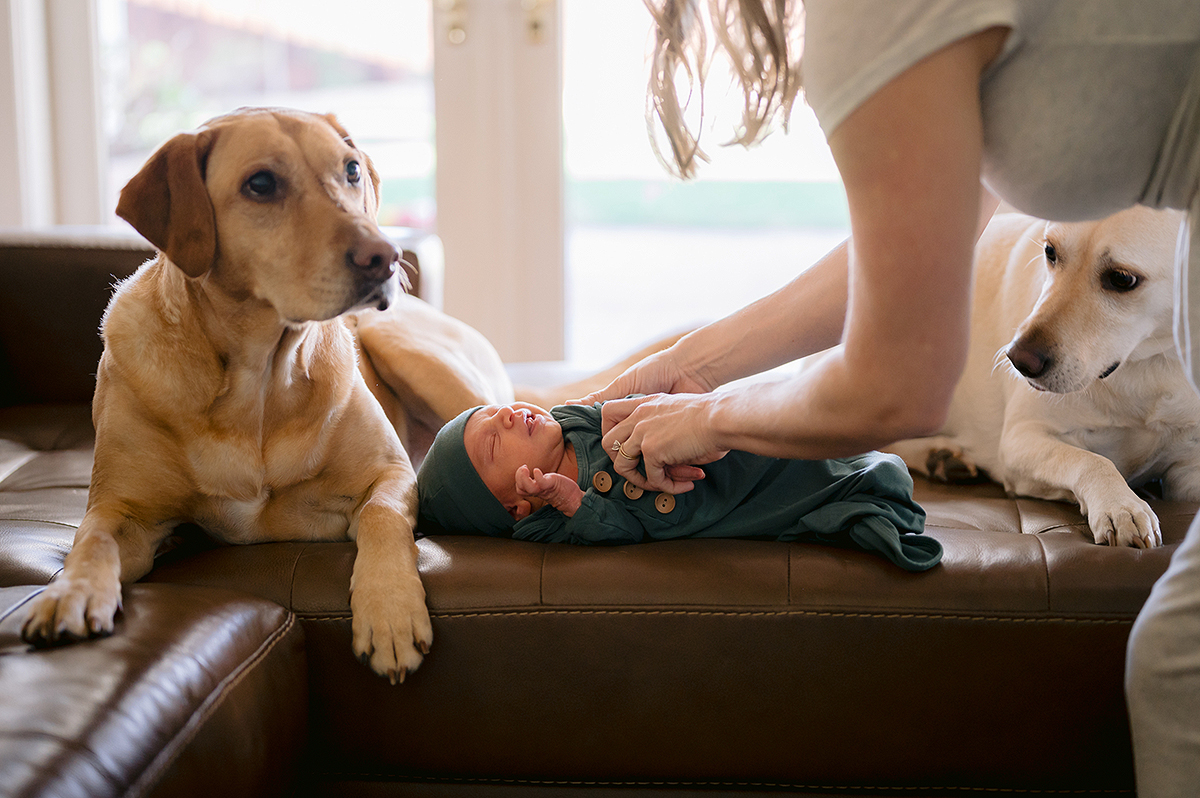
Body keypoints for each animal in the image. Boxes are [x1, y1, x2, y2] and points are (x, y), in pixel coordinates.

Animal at [22, 104, 432, 676]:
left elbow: (380, 514)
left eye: (351, 170)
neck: (260, 378)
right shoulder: (123, 510)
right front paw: (70, 593)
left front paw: (391, 611)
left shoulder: (391, 475)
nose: (387, 256)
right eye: (260, 184)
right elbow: (93, 539)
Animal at [892, 206, 1200, 547]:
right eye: (1050, 251)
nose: (1018, 360)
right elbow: (1091, 460)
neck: (1150, 365)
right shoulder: (1020, 439)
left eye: (1122, 278)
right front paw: (1120, 505)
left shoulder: (1188, 471)